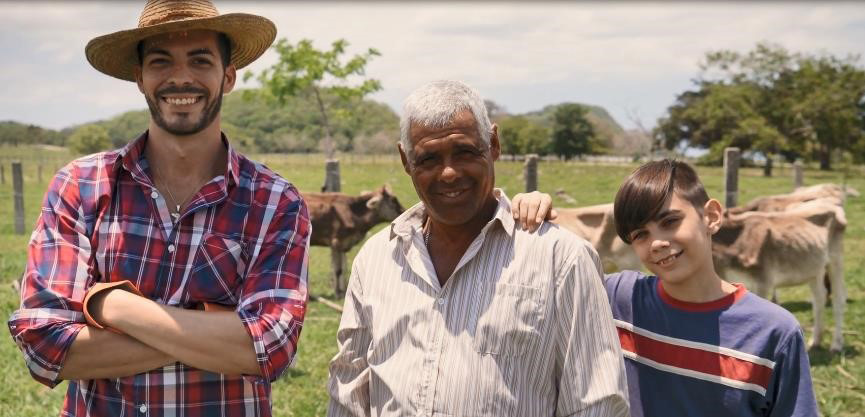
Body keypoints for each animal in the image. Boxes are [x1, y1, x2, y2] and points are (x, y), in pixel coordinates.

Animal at [712, 202, 848, 352]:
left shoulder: (763, 282)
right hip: (814, 269)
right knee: (819, 297)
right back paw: (815, 341)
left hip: (836, 260)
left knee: (838, 299)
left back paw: (836, 344)